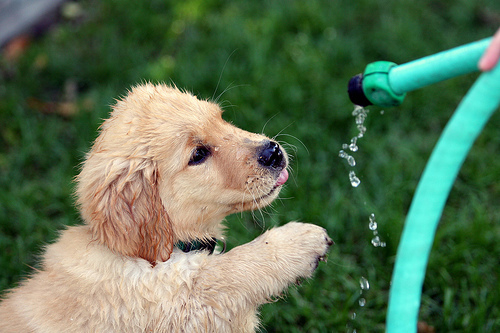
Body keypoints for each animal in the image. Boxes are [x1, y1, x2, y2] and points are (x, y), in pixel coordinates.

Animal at [0, 83, 332, 332]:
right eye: (198, 154)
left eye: (221, 118)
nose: (274, 152)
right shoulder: (180, 303)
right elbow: (229, 270)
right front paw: (300, 241)